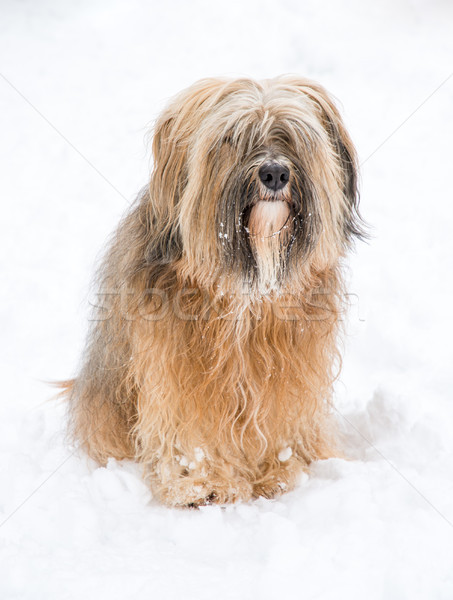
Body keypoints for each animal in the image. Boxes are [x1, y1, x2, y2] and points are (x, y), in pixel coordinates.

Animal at [61, 75, 364, 506]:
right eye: (232, 138)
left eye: (290, 136)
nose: (274, 174)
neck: (247, 288)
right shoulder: (175, 365)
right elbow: (189, 424)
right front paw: (201, 481)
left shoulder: (288, 365)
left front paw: (278, 471)